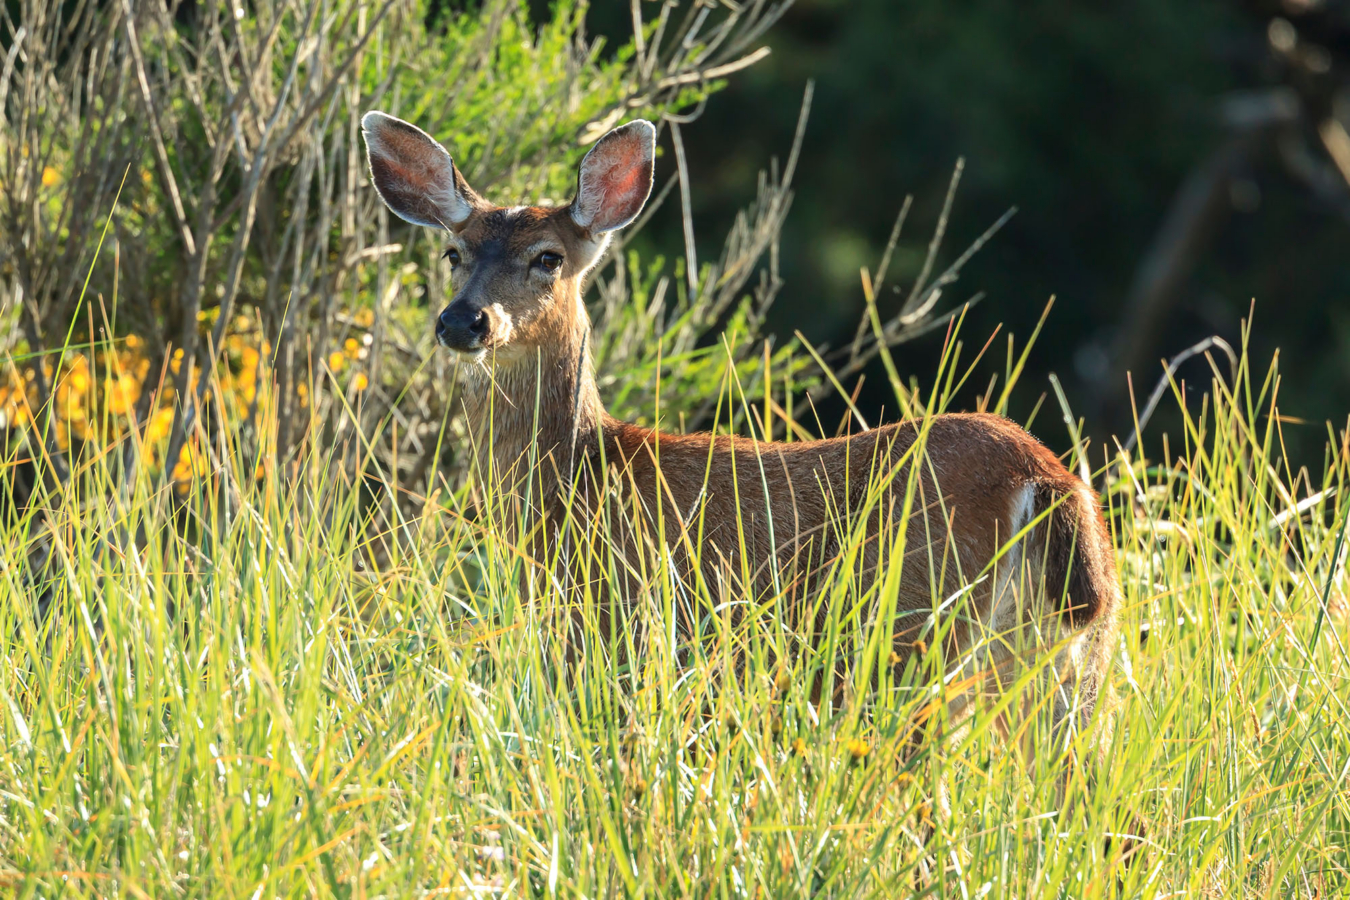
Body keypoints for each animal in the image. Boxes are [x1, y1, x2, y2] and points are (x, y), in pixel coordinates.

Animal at [360, 111, 1123, 799]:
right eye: (454, 254)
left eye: (547, 256)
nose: (464, 320)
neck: (581, 474)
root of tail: (1047, 482)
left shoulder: (614, 624)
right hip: (1070, 663)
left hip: (912, 634)